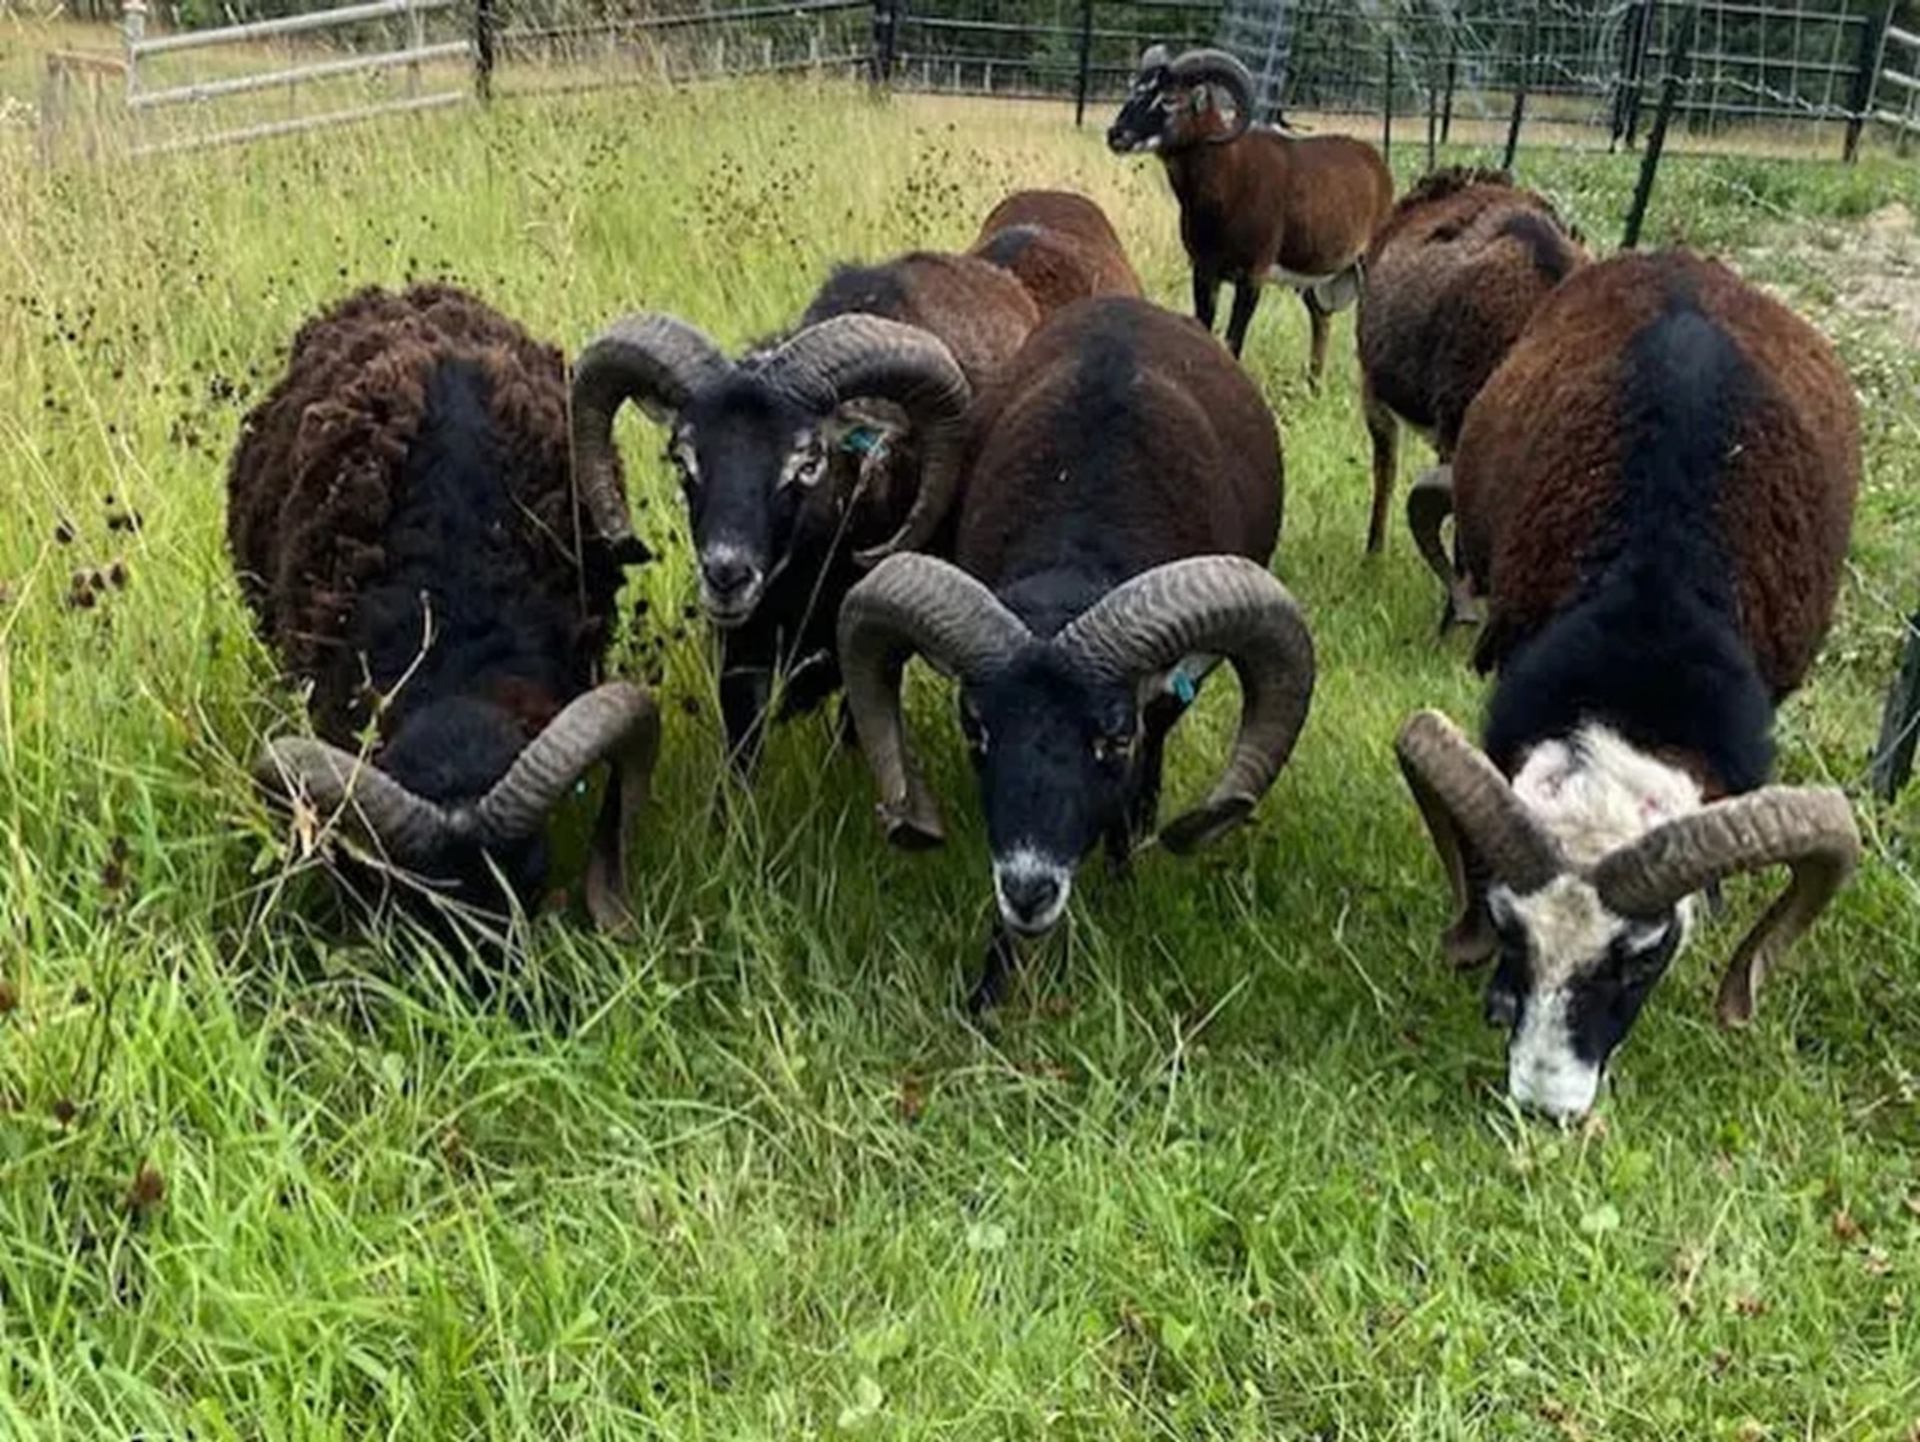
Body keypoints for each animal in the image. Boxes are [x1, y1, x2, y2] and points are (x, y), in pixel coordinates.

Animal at [1106, 46, 1393, 380]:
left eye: (1169, 99)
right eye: (1135, 89)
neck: (1228, 180)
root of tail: (1375, 162)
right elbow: (1203, 325)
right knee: (1320, 316)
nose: (1116, 134)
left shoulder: (1252, 277)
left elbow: (1234, 341)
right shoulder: (1205, 271)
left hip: (1364, 267)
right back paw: (1313, 383)